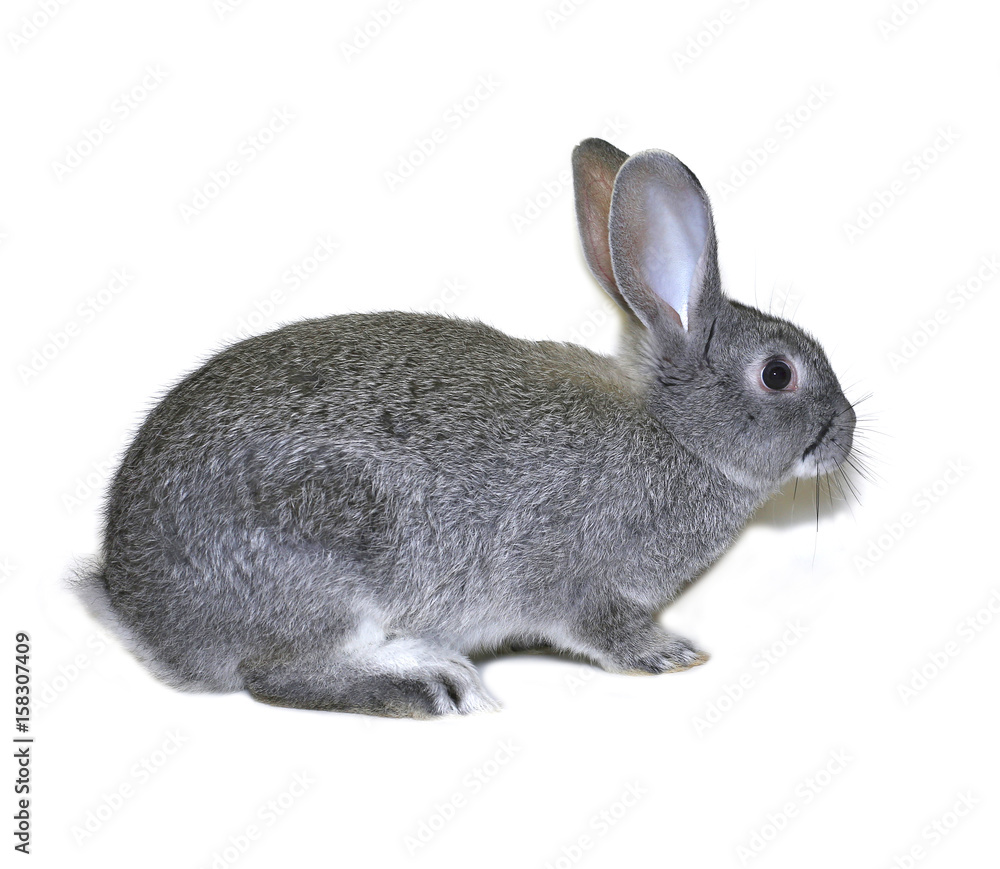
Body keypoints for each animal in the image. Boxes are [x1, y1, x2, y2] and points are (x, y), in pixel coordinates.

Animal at [78, 138, 856, 718]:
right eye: (778, 374)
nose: (846, 432)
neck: (677, 433)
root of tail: (140, 612)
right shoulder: (574, 576)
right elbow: (598, 624)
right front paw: (668, 653)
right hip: (325, 552)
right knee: (276, 673)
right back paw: (428, 682)